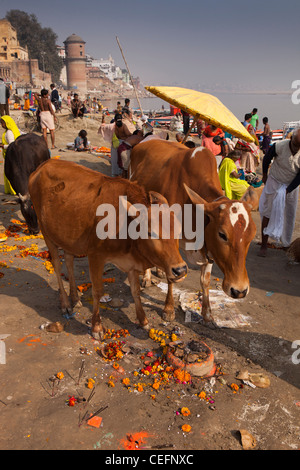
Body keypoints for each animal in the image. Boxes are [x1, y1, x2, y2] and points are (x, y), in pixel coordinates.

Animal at [28, 160, 188, 340]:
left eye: (178, 232)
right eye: (150, 232)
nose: (180, 270)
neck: (125, 224)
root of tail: (42, 166)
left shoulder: (130, 263)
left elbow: (135, 291)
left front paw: (143, 320)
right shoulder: (95, 256)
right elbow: (97, 291)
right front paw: (97, 327)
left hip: (67, 237)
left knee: (68, 261)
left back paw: (75, 298)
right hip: (46, 232)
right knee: (56, 264)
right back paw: (65, 303)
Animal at [130, 140, 256, 326]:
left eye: (252, 236)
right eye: (222, 234)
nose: (239, 290)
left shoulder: (208, 249)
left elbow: (205, 281)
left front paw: (208, 314)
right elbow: (173, 276)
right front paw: (168, 309)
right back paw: (146, 277)